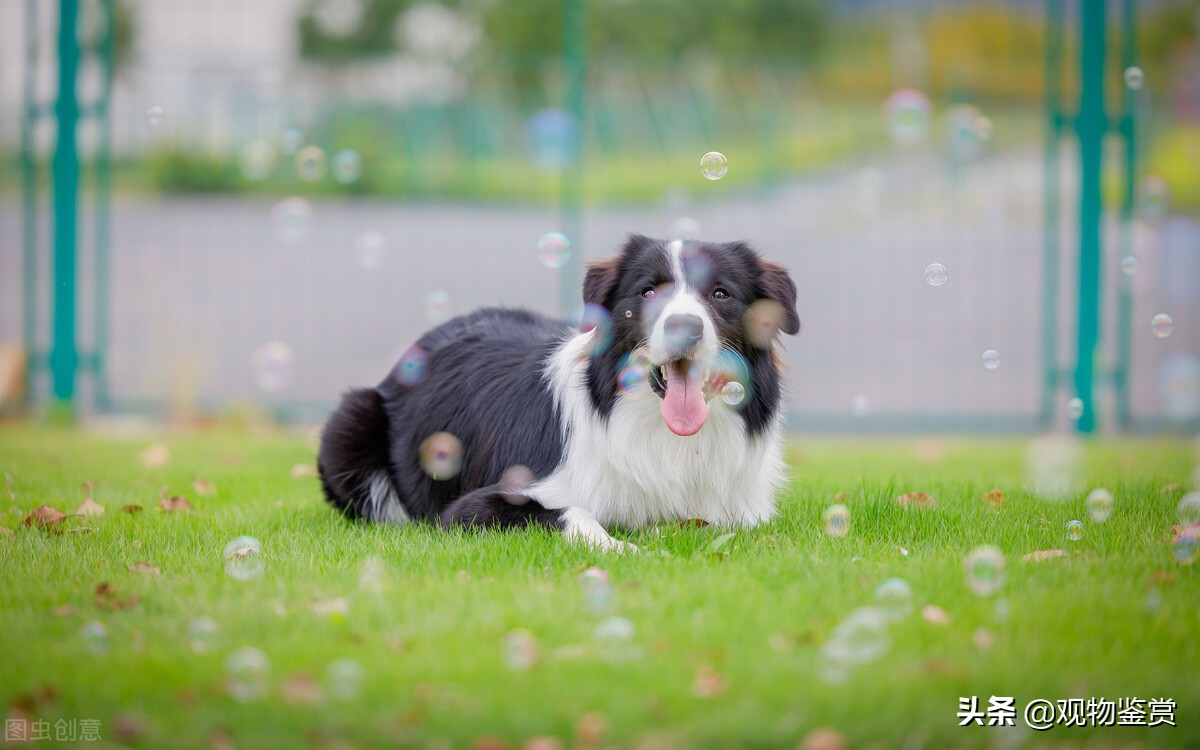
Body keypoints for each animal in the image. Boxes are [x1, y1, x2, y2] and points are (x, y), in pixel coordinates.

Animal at [321, 234, 796, 549]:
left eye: (720, 294)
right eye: (647, 292)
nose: (685, 327)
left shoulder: (740, 509)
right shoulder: (474, 506)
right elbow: (572, 511)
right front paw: (621, 547)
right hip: (351, 420)